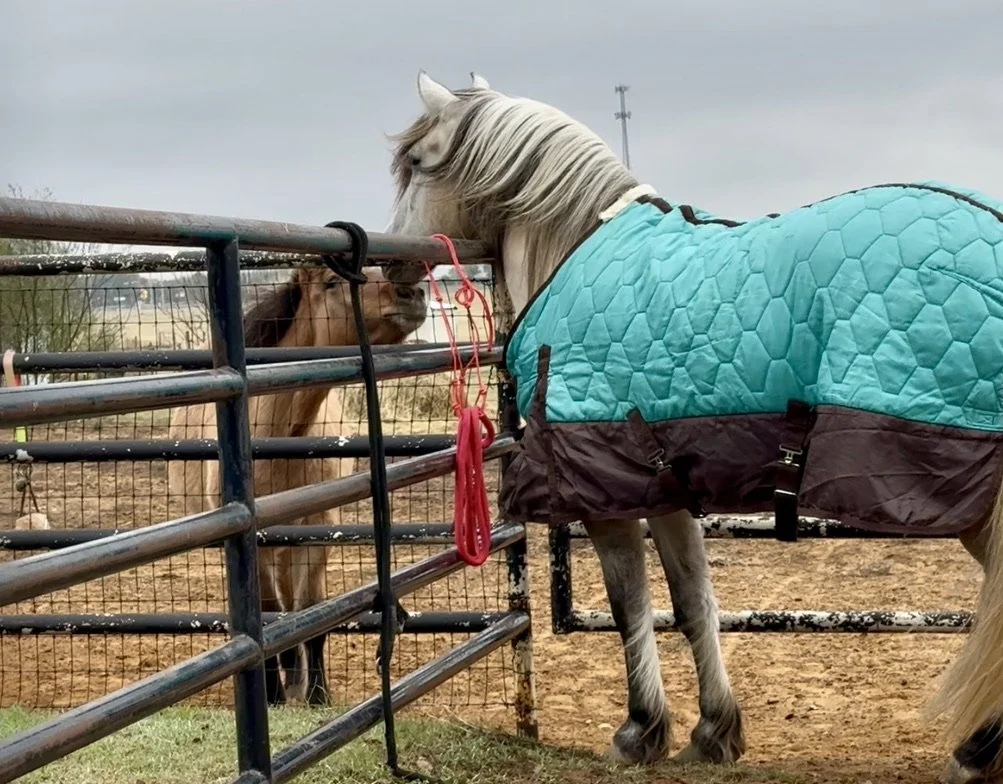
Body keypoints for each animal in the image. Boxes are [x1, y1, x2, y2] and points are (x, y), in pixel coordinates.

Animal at [167, 264, 426, 705]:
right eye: (333, 282)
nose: (412, 294)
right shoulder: (256, 545)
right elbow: (270, 614)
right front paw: (272, 693)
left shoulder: (316, 534)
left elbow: (311, 614)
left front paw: (318, 694)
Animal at [385, 70, 1003, 783]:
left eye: (418, 162)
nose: (390, 267)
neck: (573, 251)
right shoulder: (667, 485)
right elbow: (691, 602)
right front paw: (714, 731)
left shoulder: (609, 496)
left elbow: (629, 602)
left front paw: (640, 731)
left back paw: (973, 754)